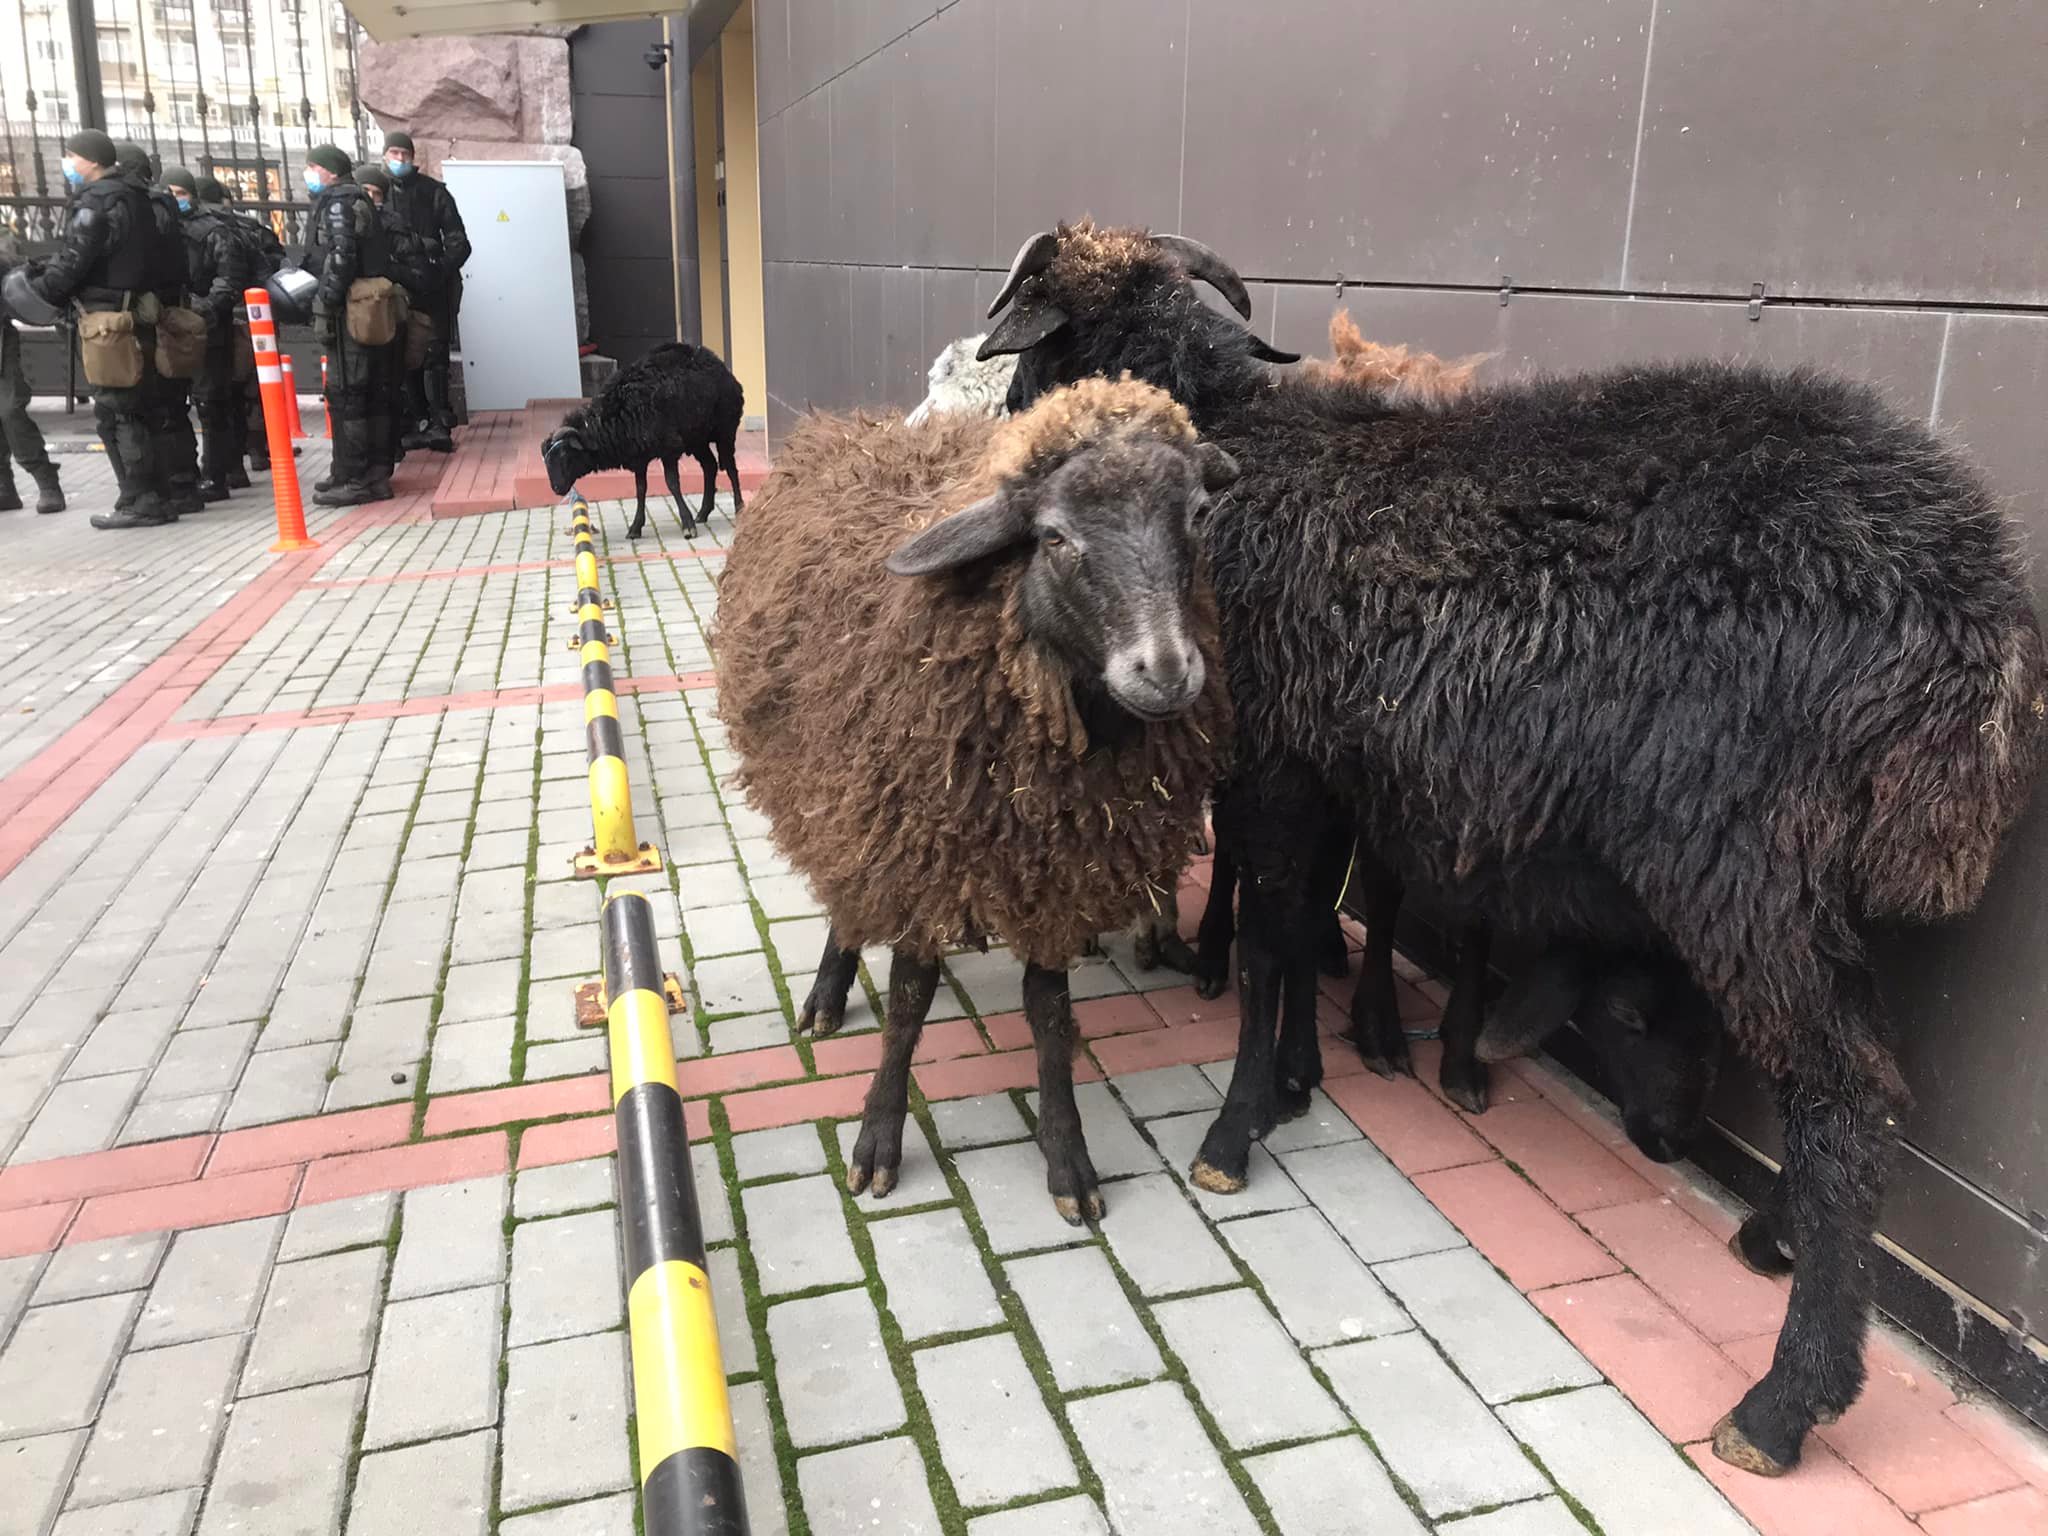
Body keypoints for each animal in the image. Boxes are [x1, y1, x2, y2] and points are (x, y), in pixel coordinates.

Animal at [540, 342, 749, 540]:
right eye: (547, 461)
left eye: (565, 456)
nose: (556, 488)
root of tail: (720, 366)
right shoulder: (638, 458)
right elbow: (640, 489)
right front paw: (635, 527)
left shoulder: (669, 448)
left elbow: (672, 484)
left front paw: (687, 524)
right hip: (697, 439)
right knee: (710, 466)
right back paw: (703, 512)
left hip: (725, 430)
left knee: (730, 467)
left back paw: (739, 507)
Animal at [712, 382, 1236, 1228]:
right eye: (1053, 537)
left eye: (1195, 514)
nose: (1165, 673)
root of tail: (848, 428)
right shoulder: (920, 842)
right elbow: (907, 1003)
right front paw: (877, 1142)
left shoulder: (1058, 869)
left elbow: (1049, 1014)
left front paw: (1067, 1159)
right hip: (847, 799)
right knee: (848, 894)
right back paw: (827, 992)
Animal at [974, 222, 2048, 1482]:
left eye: (1033, 343)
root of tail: (1973, 615)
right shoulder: (1326, 762)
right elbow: (1299, 927)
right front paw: (1294, 1082)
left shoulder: (1274, 755)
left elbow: (1270, 944)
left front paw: (1233, 1135)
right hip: (1809, 872)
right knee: (1867, 1078)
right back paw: (1768, 1236)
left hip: (1738, 851)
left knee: (1843, 1091)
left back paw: (1779, 1404)